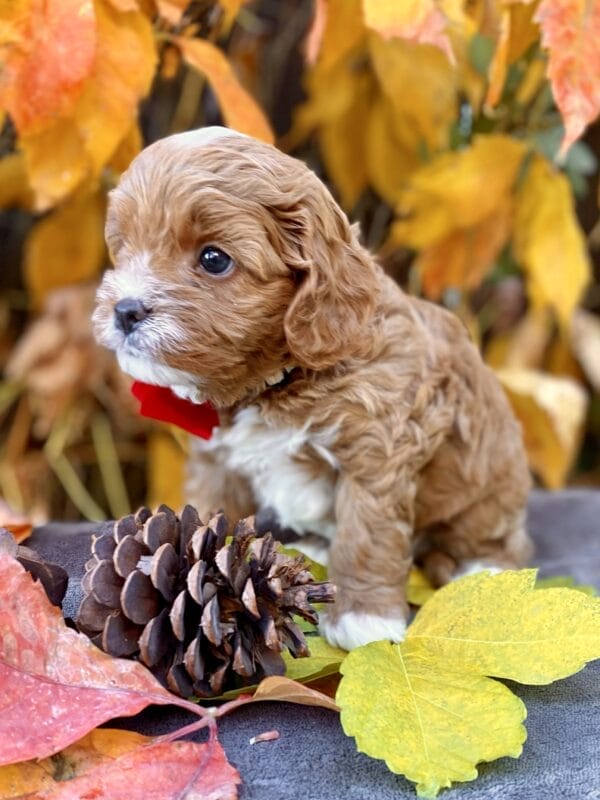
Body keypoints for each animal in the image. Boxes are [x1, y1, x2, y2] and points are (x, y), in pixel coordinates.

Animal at [95, 125, 536, 648]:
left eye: (214, 259)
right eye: (125, 247)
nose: (124, 310)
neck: (274, 382)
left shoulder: (377, 451)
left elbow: (366, 531)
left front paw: (364, 618)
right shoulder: (215, 462)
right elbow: (206, 514)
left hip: (489, 486)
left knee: (497, 537)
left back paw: (485, 571)